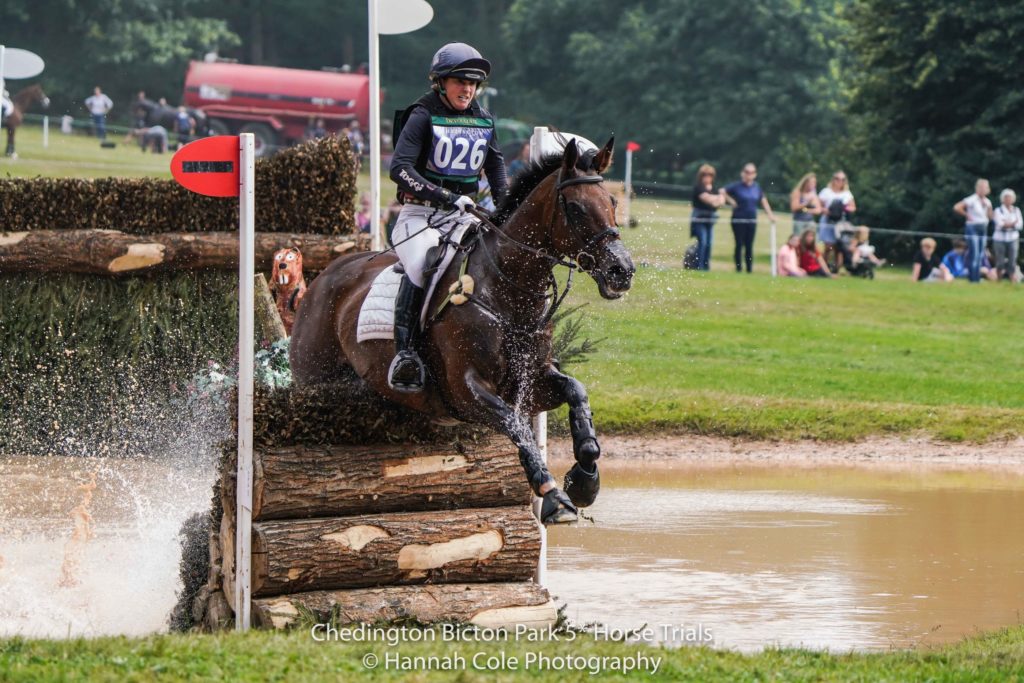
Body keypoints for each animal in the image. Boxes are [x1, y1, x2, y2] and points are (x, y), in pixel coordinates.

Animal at [288, 137, 634, 524]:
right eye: (574, 208)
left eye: (613, 203)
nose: (622, 271)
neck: (506, 290)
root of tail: (319, 282)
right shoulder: (466, 390)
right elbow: (515, 424)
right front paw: (554, 497)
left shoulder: (532, 381)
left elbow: (576, 392)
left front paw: (585, 480)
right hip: (311, 376)